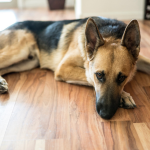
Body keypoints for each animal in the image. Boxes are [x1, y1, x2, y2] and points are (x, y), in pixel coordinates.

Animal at [0, 16, 150, 119]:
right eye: (99, 75)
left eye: (122, 78)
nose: (105, 115)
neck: (111, 34)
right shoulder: (64, 67)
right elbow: (88, 76)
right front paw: (124, 95)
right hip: (18, 52)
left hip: (27, 62)